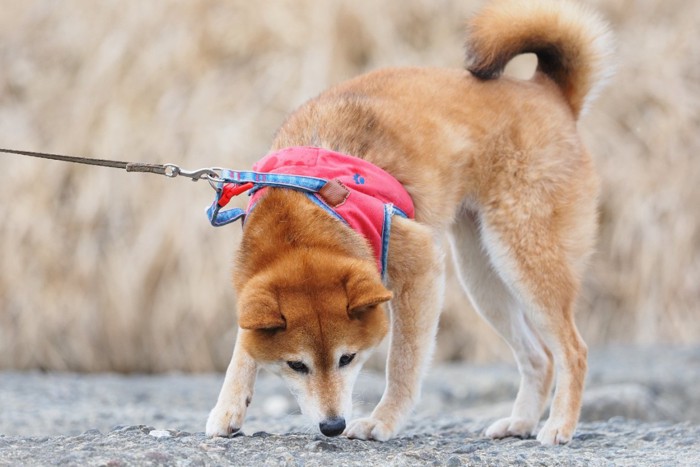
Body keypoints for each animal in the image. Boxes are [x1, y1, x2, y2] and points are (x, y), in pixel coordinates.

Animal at [206, 0, 612, 446]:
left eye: (347, 358)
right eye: (296, 365)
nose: (332, 426)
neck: (302, 210)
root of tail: (547, 91)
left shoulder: (419, 266)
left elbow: (402, 362)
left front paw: (382, 421)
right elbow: (243, 348)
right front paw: (228, 407)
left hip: (523, 260)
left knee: (573, 350)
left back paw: (560, 425)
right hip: (483, 276)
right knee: (540, 356)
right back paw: (520, 422)